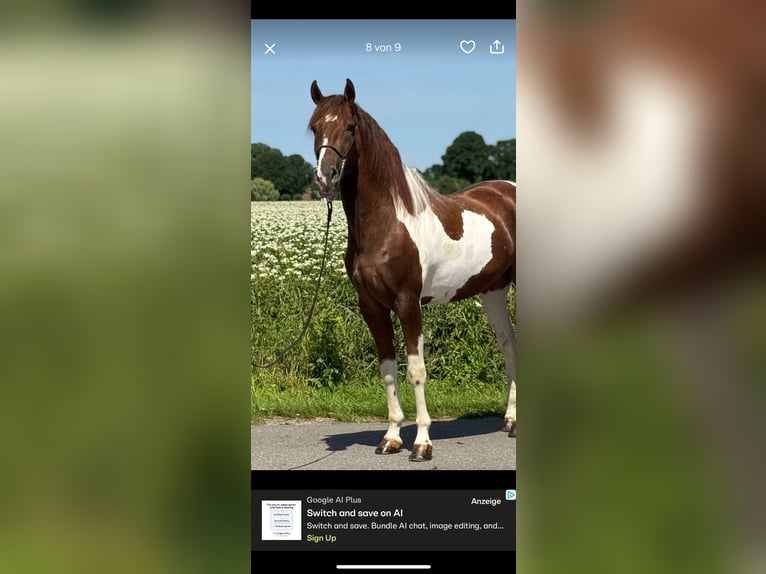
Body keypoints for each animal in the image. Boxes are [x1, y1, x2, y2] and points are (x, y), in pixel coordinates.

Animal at [308, 78, 516, 461]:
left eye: (350, 126)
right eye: (314, 127)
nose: (325, 177)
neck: (389, 224)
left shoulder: (408, 304)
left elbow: (416, 370)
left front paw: (422, 443)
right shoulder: (372, 307)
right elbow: (389, 370)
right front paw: (391, 438)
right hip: (494, 291)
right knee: (509, 345)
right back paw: (510, 421)